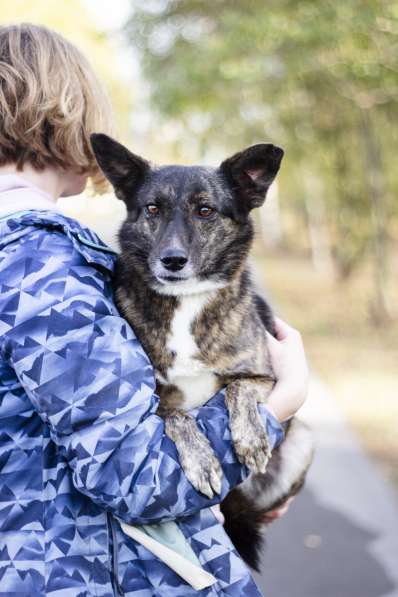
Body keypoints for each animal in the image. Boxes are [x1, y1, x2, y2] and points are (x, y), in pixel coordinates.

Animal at [90, 134, 314, 568]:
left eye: (205, 210)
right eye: (153, 208)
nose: (172, 260)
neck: (187, 301)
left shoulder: (266, 376)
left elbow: (237, 389)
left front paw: (251, 439)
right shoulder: (155, 399)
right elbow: (178, 417)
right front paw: (203, 460)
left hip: (303, 442)